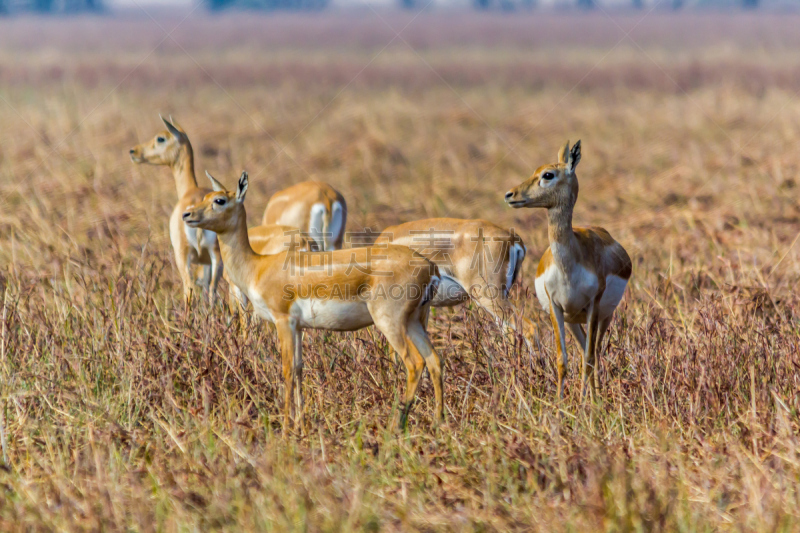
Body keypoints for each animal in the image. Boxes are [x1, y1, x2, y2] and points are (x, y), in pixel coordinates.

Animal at [129, 118, 223, 306]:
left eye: (161, 138)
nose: (133, 151)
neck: (191, 191)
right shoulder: (207, 263)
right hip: (215, 257)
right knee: (211, 292)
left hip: (184, 256)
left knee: (190, 288)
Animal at [183, 172, 444, 430]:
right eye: (205, 196)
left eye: (219, 200)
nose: (187, 215)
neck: (257, 266)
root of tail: (430, 267)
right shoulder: (298, 327)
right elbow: (299, 368)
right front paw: (300, 422)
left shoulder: (283, 321)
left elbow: (287, 369)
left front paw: (286, 426)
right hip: (414, 322)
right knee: (434, 361)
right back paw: (438, 422)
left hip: (390, 323)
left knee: (414, 363)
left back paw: (398, 425)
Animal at [506, 141, 632, 400]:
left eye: (547, 175)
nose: (510, 194)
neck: (569, 265)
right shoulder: (557, 309)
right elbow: (562, 359)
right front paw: (559, 403)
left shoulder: (593, 306)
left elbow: (589, 358)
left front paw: (586, 403)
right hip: (573, 320)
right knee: (585, 349)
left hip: (605, 316)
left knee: (593, 353)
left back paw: (595, 397)